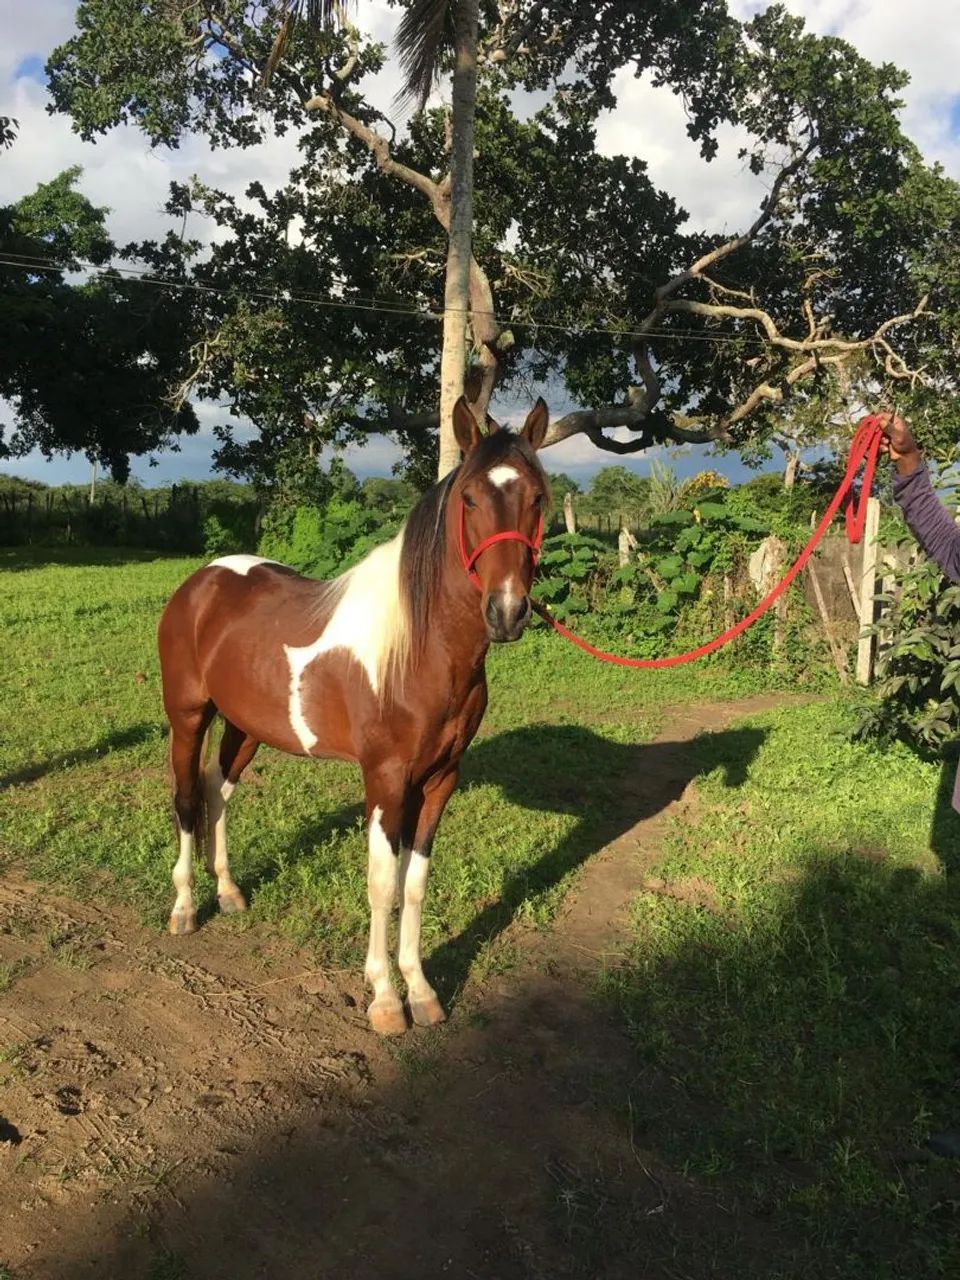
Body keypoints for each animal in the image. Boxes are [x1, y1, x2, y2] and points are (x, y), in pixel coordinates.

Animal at [157, 397, 550, 1035]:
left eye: (538, 496)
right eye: (468, 498)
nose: (508, 611)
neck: (417, 649)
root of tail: (203, 580)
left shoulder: (440, 780)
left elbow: (415, 884)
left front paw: (422, 991)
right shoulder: (385, 779)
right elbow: (382, 885)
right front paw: (386, 1000)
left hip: (246, 726)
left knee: (218, 791)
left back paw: (230, 892)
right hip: (189, 717)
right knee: (188, 800)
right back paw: (186, 908)